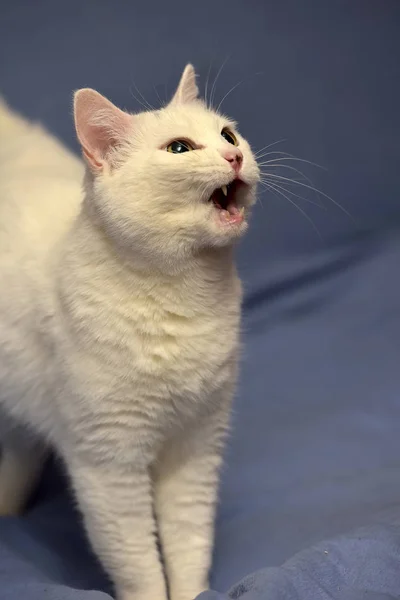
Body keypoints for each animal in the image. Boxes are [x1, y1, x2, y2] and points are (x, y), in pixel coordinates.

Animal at [0, 65, 260, 600]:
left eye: (228, 135)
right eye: (179, 148)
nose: (235, 156)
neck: (185, 301)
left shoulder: (195, 447)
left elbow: (188, 543)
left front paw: (193, 593)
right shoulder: (108, 468)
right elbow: (139, 563)